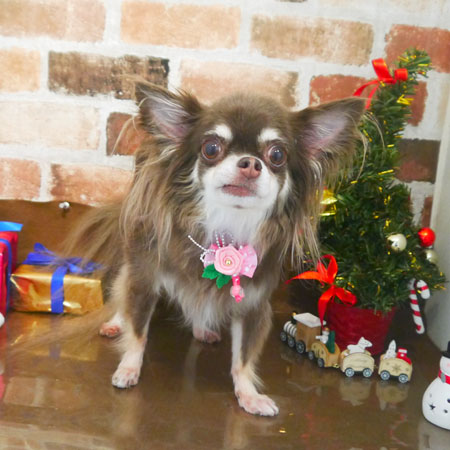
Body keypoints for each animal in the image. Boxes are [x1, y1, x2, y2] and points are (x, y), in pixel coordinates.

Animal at [69, 81, 364, 416]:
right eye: (211, 148)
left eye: (277, 154)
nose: (250, 163)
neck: (226, 225)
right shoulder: (145, 278)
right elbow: (138, 331)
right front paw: (129, 368)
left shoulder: (252, 305)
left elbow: (243, 359)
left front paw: (248, 394)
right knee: (123, 289)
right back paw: (115, 323)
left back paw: (202, 328)